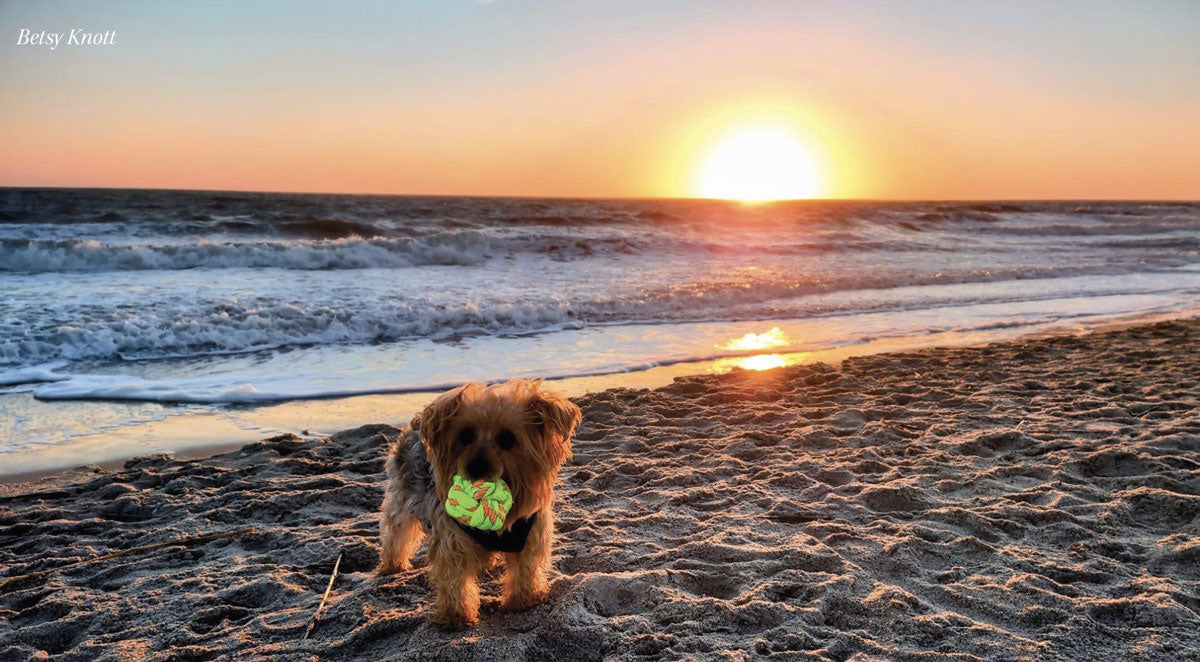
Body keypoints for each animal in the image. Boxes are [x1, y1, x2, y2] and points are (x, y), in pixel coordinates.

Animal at [376, 376, 578, 623]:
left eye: (507, 439)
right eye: (465, 436)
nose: (477, 467)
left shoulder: (529, 531)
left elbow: (526, 566)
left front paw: (524, 600)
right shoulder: (452, 536)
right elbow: (454, 575)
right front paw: (456, 615)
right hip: (402, 493)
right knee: (397, 531)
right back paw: (393, 564)